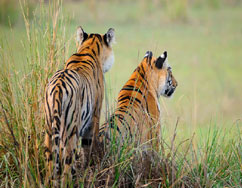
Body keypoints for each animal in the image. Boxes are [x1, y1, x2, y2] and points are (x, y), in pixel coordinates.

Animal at [44, 26, 116, 187]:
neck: (89, 48)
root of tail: (58, 87)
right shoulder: (95, 114)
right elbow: (89, 146)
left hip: (49, 130)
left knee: (50, 164)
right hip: (71, 130)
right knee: (66, 165)